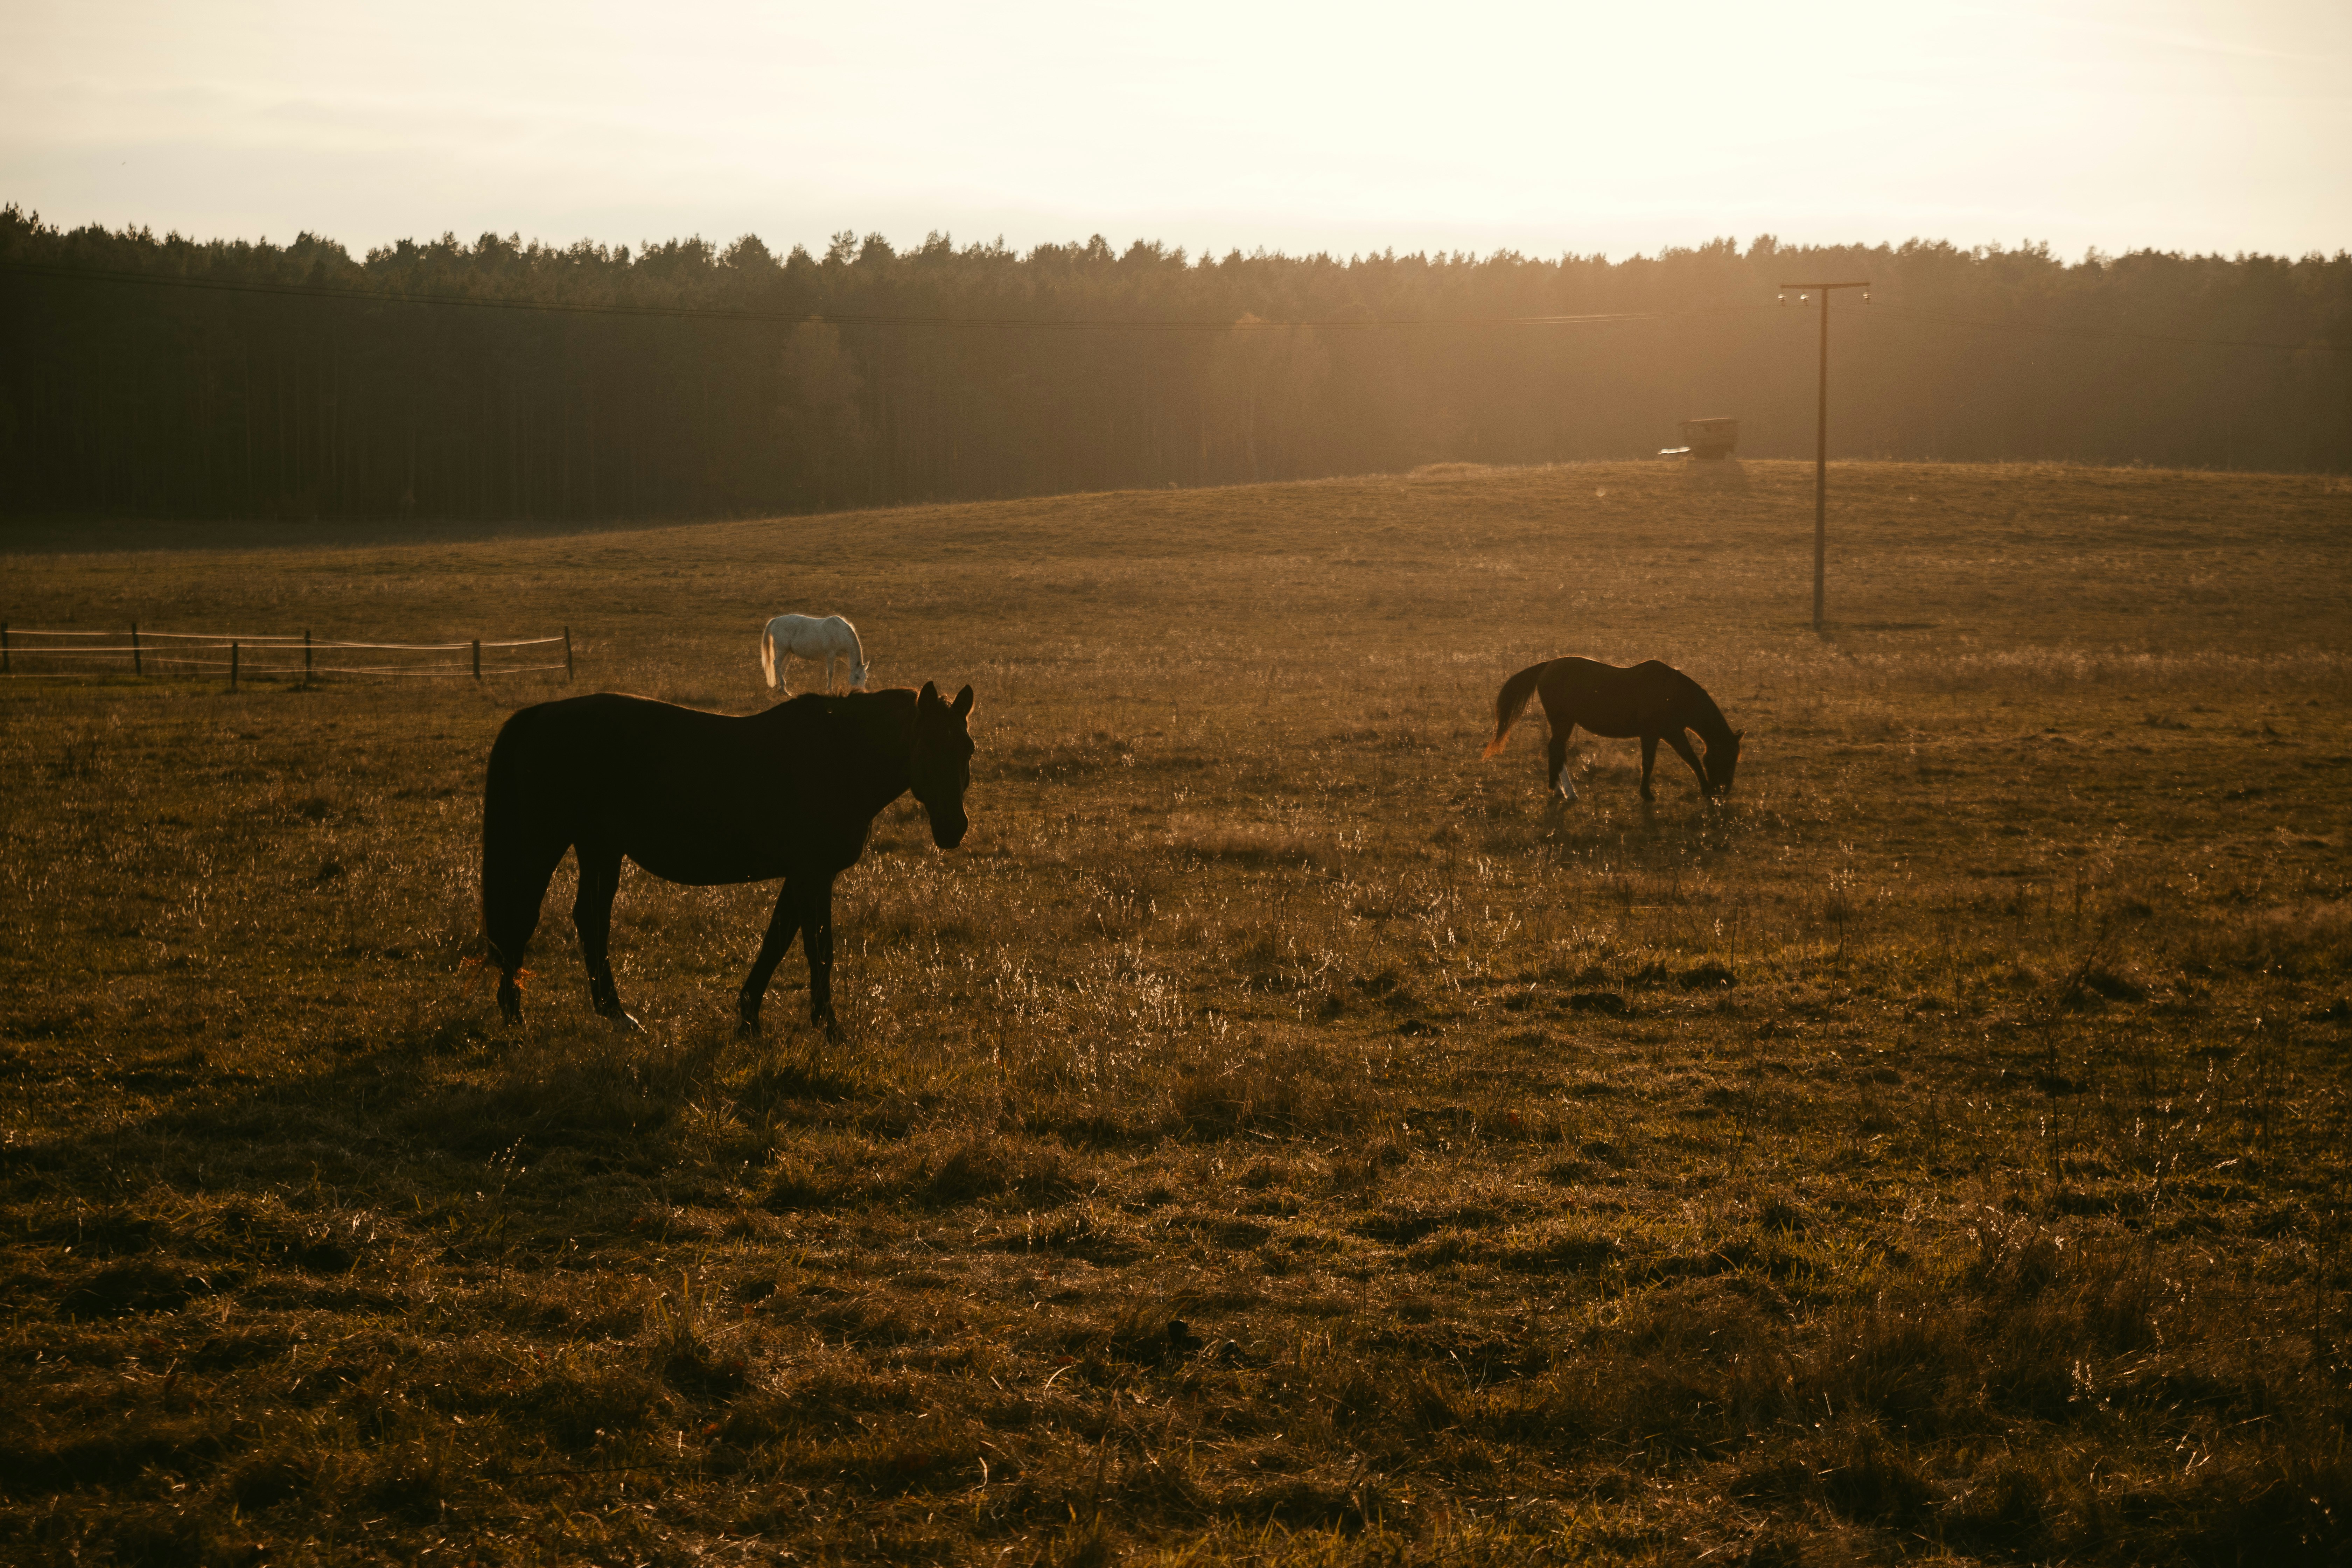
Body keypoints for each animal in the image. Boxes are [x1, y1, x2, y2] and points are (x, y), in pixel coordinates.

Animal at [480, 681, 974, 1035]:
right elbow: (818, 947)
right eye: (928, 746)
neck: (839, 757)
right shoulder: (814, 873)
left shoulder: (805, 875)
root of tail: (540, 715)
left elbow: (778, 939)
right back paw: (515, 1017)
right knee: (523, 919)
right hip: (547, 843)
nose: (954, 828)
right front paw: (828, 1026)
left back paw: (615, 1013)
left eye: (967, 749)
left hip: (600, 848)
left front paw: (750, 1016)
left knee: (591, 918)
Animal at [761, 613, 868, 693]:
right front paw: (830, 690)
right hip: (782, 650)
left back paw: (783, 689)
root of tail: (775, 620)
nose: (861, 692)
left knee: (783, 667)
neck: (839, 633)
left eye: (865, 678)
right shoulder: (830, 656)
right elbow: (831, 673)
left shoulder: (845, 657)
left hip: (788, 653)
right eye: (857, 677)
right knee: (777, 664)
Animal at [1483, 658, 1742, 804]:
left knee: (1556, 751)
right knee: (1557, 751)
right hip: (1563, 722)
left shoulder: (1664, 734)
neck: (1672, 693)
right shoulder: (1662, 734)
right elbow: (1678, 760)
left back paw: (1560, 791)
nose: (1724, 791)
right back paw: (1568, 793)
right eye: (1727, 758)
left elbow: (1670, 761)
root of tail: (1547, 666)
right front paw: (1650, 794)